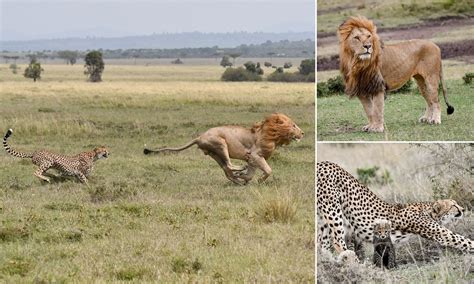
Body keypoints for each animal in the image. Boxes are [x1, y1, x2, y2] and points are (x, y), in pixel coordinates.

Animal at [143, 112, 304, 185]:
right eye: (294, 125)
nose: (302, 133)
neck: (271, 135)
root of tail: (199, 137)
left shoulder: (254, 159)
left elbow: (251, 174)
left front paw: (245, 179)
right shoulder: (255, 155)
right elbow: (268, 170)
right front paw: (257, 179)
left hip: (214, 154)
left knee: (226, 169)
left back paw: (237, 179)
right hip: (220, 144)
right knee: (229, 165)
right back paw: (239, 170)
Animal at [316, 160, 472, 260]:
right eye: (453, 205)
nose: (463, 209)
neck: (428, 210)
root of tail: (323, 163)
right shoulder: (442, 234)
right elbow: (463, 240)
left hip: (322, 217)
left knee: (321, 244)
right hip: (333, 210)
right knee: (337, 241)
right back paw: (353, 263)